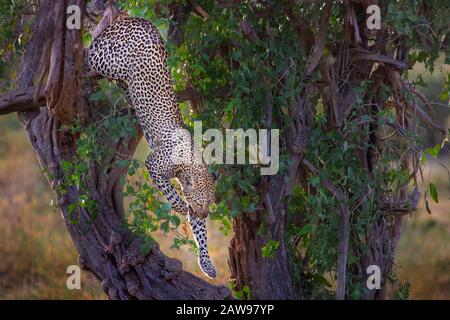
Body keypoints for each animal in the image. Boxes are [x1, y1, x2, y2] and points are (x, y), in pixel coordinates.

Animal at [86, 15, 218, 278]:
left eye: (209, 204)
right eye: (202, 204)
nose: (202, 212)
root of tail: (136, 19)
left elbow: (201, 233)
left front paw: (207, 264)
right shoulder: (154, 164)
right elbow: (170, 193)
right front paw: (180, 207)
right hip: (109, 61)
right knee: (90, 51)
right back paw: (96, 30)